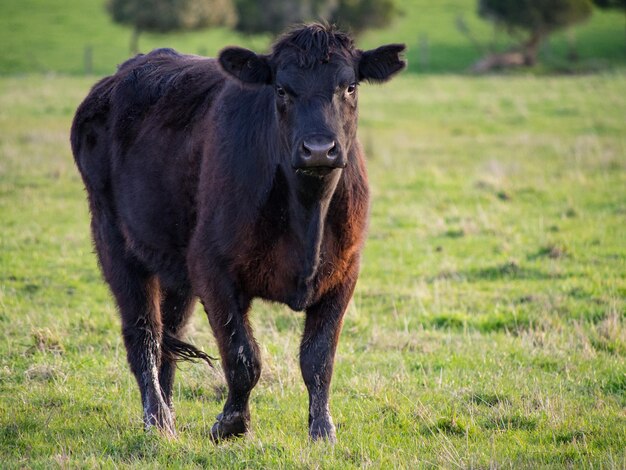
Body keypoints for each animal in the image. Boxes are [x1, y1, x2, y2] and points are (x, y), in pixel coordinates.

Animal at [72, 23, 404, 440]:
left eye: (350, 87)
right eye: (281, 89)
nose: (318, 149)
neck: (307, 212)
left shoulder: (344, 274)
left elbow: (318, 359)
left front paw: (322, 430)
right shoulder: (213, 270)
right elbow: (243, 358)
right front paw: (230, 423)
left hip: (175, 265)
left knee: (168, 333)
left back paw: (169, 412)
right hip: (113, 238)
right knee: (143, 333)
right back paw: (158, 420)